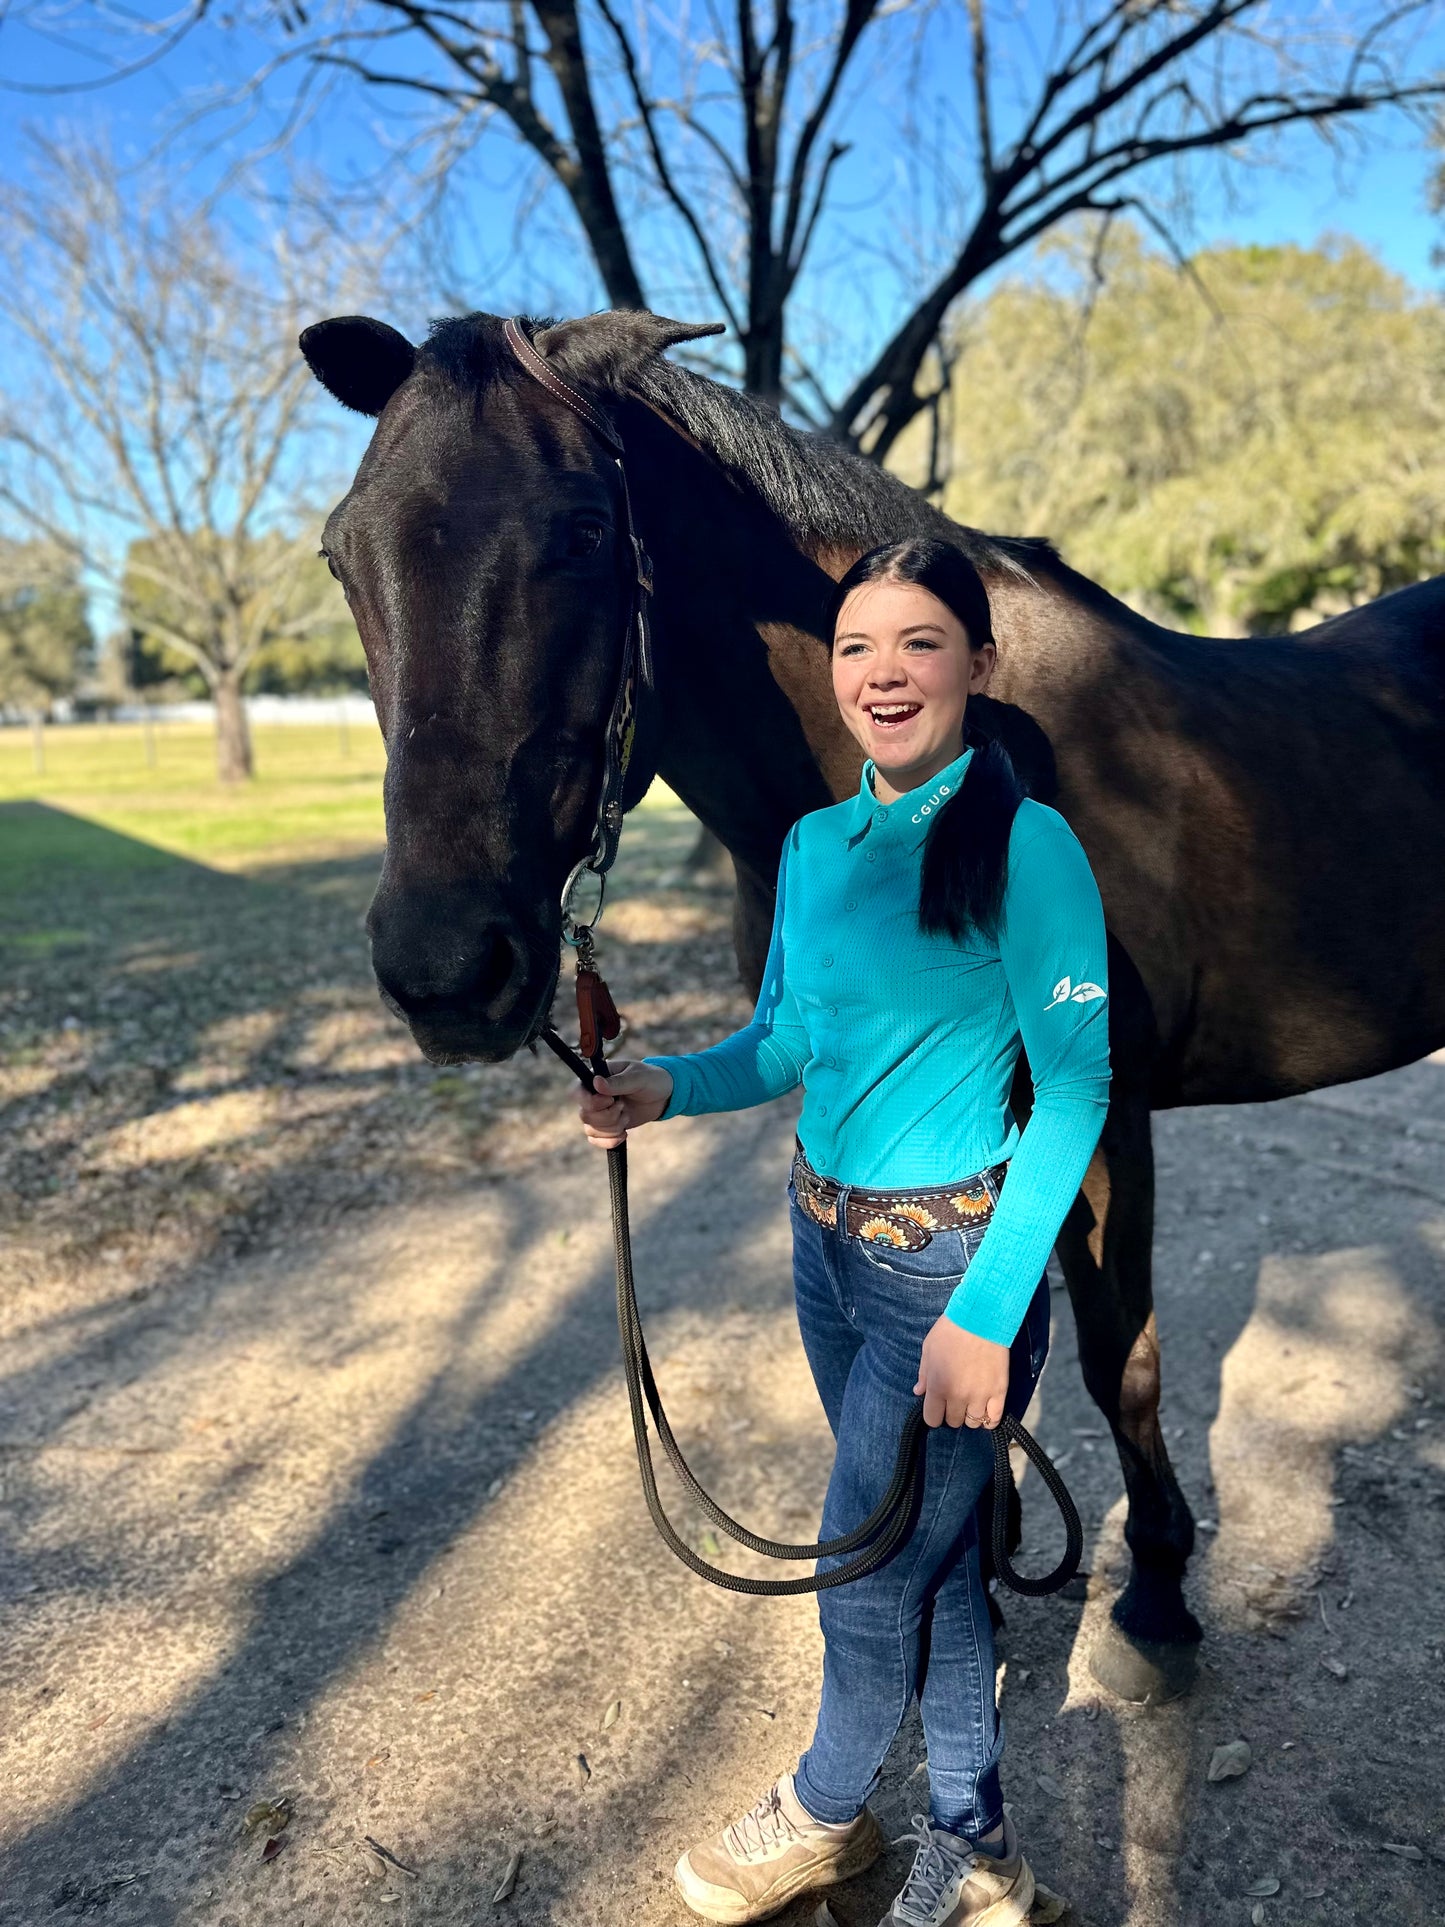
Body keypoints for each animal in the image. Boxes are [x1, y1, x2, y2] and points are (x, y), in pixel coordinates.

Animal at [302, 300, 1445, 1703]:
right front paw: (976, 1576)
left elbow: (1111, 1353)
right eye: (344, 554)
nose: (446, 971)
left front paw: (1157, 1594)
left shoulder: (1101, 1117)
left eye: (579, 532)